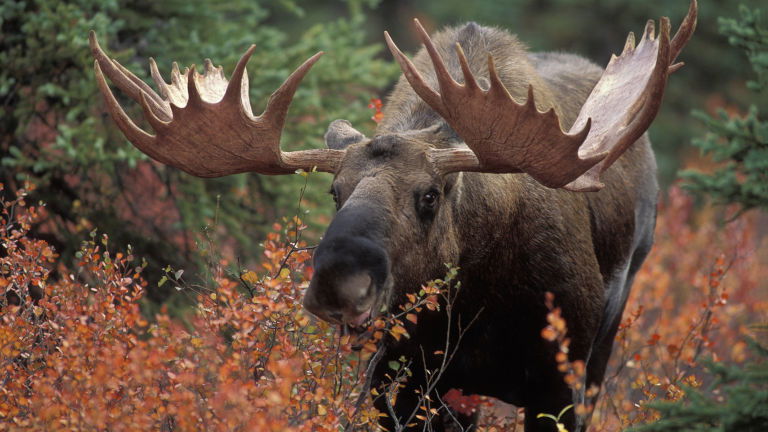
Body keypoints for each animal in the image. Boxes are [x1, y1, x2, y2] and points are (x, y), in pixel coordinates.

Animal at [89, 1, 696, 430]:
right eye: (334, 191)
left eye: (430, 195)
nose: (338, 282)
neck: (474, 301)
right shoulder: (399, 382)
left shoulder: (559, 379)